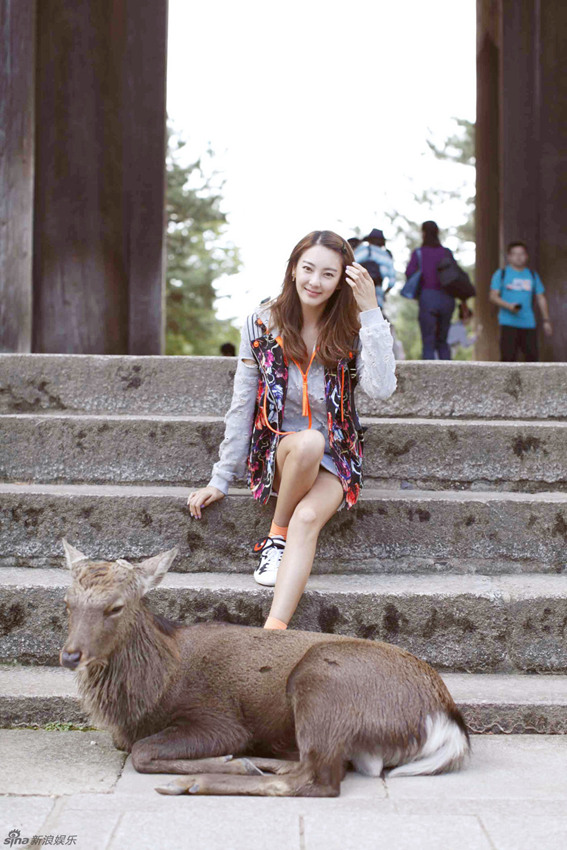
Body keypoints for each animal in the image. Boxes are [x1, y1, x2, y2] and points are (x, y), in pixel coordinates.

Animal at [58, 540, 470, 792]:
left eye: (115, 606)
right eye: (67, 602)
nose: (70, 655)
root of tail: (446, 718)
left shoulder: (217, 718)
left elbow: (142, 753)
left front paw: (226, 762)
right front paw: (231, 761)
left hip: (321, 680)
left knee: (316, 780)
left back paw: (202, 781)